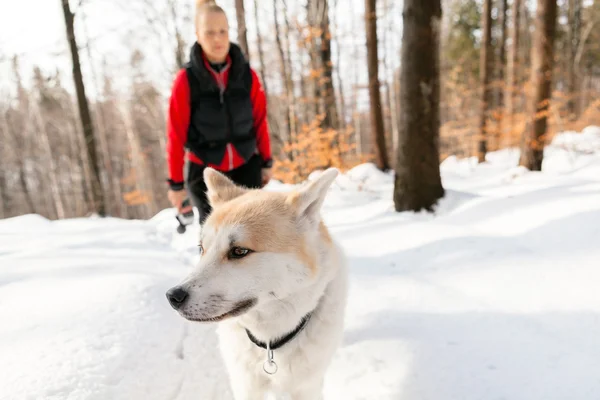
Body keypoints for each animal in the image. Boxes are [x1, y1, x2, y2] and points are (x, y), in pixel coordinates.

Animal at [166, 167, 350, 398]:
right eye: (202, 249)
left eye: (239, 251)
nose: (173, 296)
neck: (270, 342)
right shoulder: (245, 384)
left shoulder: (306, 387)